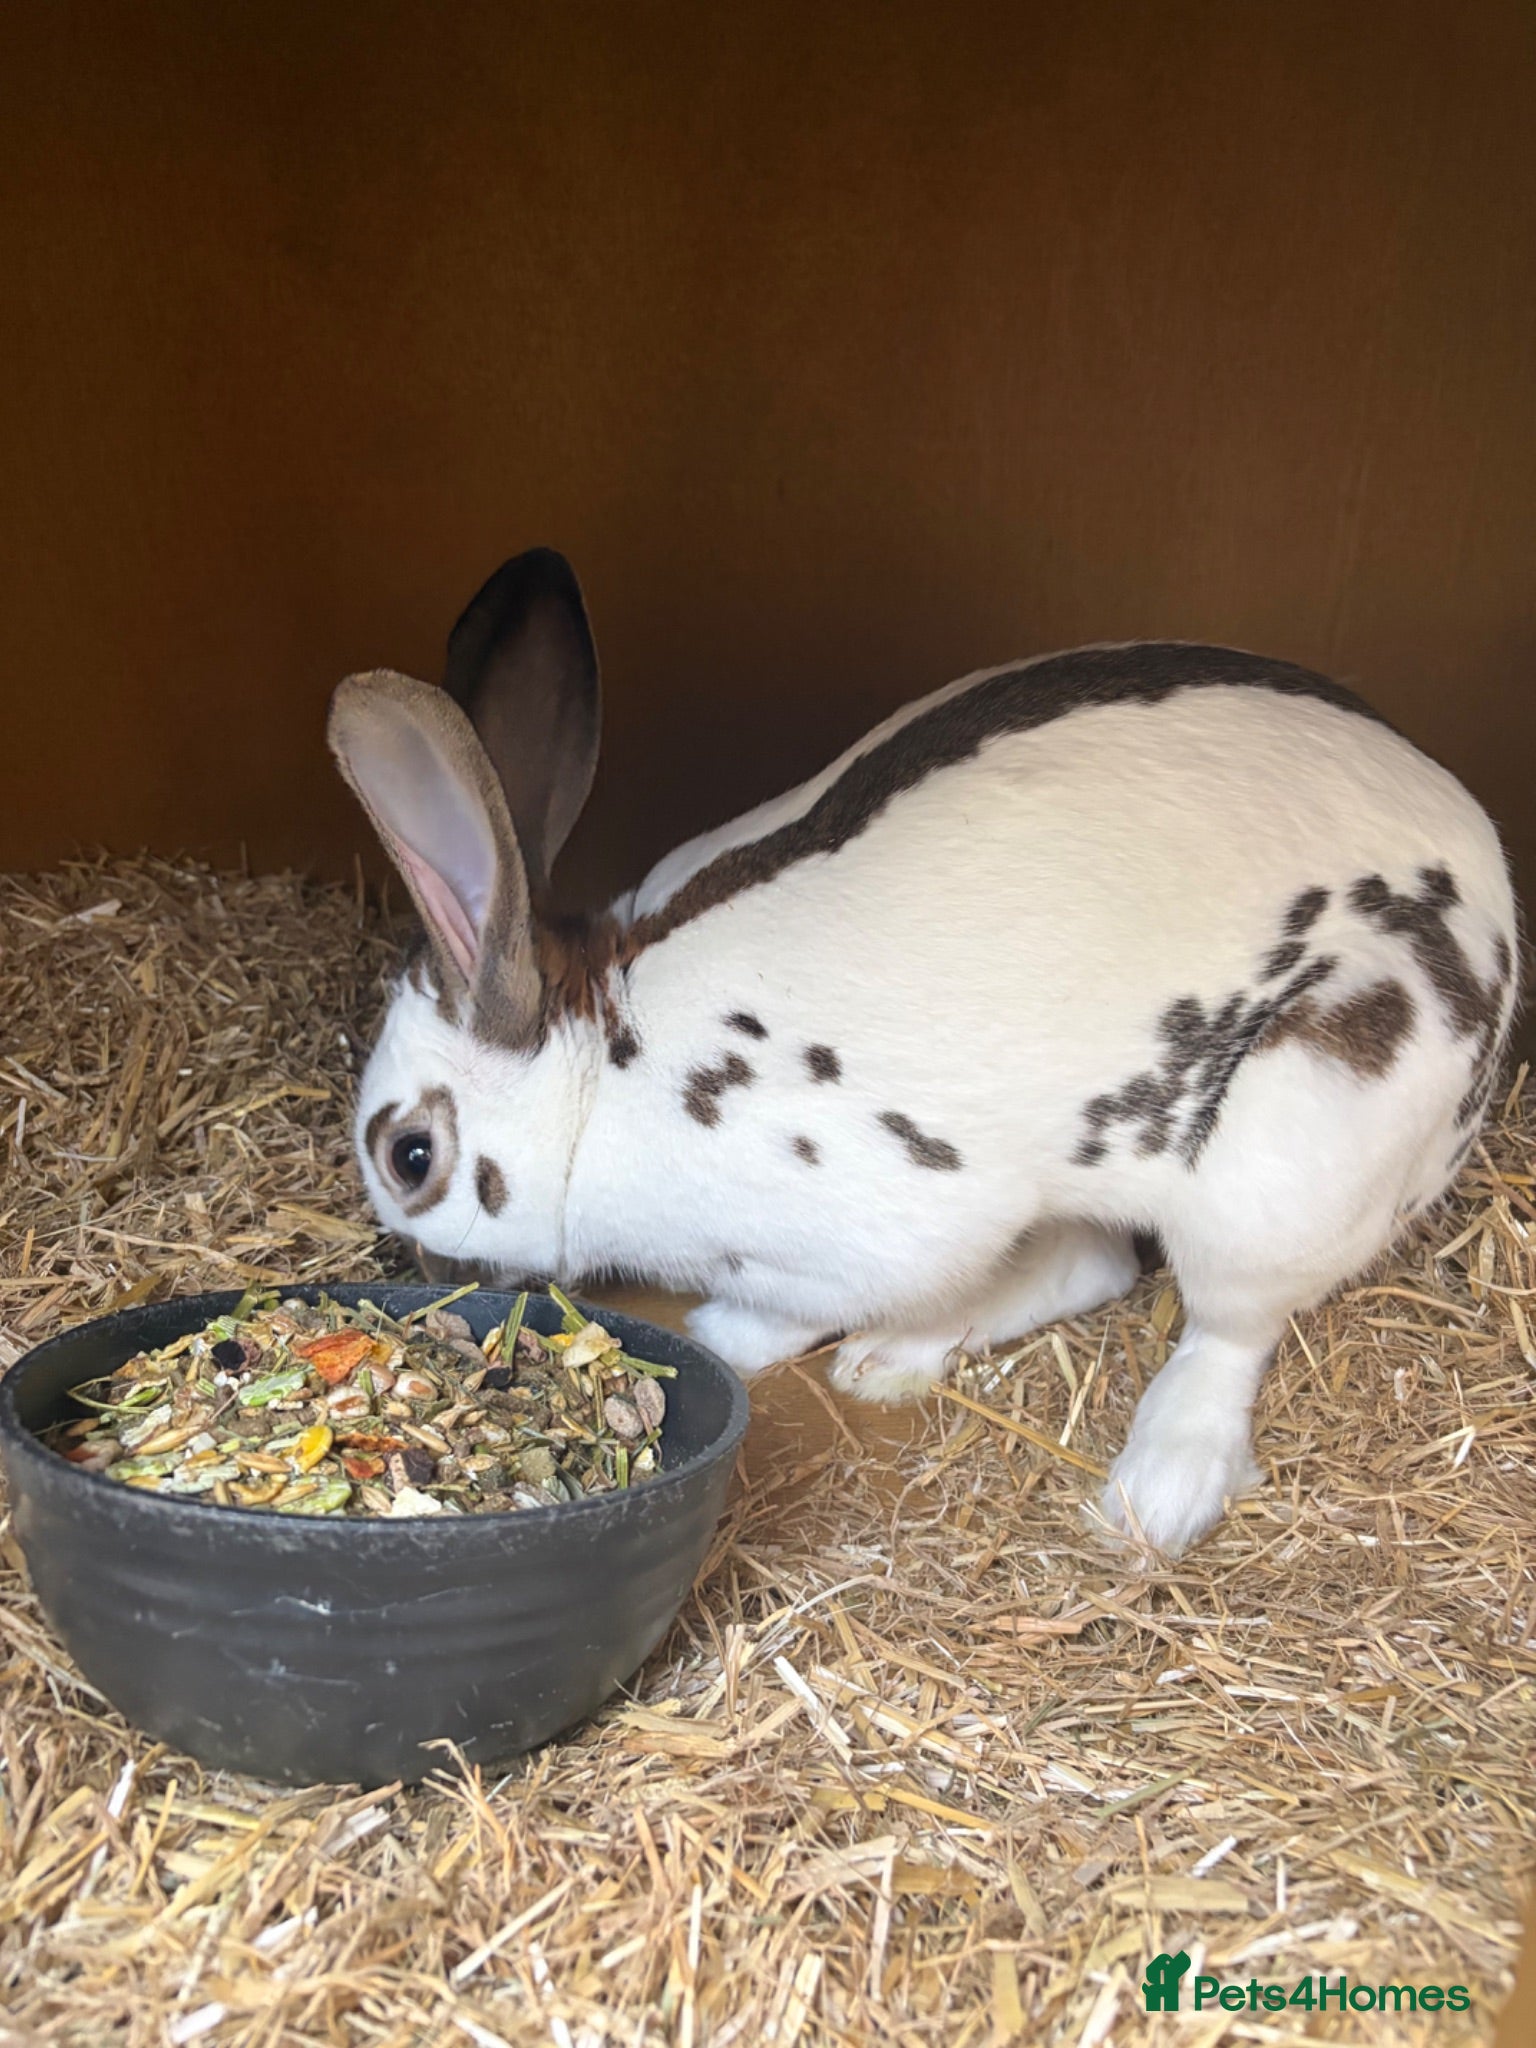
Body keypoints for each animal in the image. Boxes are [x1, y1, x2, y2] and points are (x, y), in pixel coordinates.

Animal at [328, 547, 1519, 1556]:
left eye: (410, 1157)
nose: (424, 1272)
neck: (603, 1070)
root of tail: (1498, 902)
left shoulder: (876, 1229)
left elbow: (792, 1308)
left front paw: (723, 1328)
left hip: (1290, 1143)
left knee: (1228, 1331)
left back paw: (1154, 1493)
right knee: (1097, 1261)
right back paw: (896, 1362)